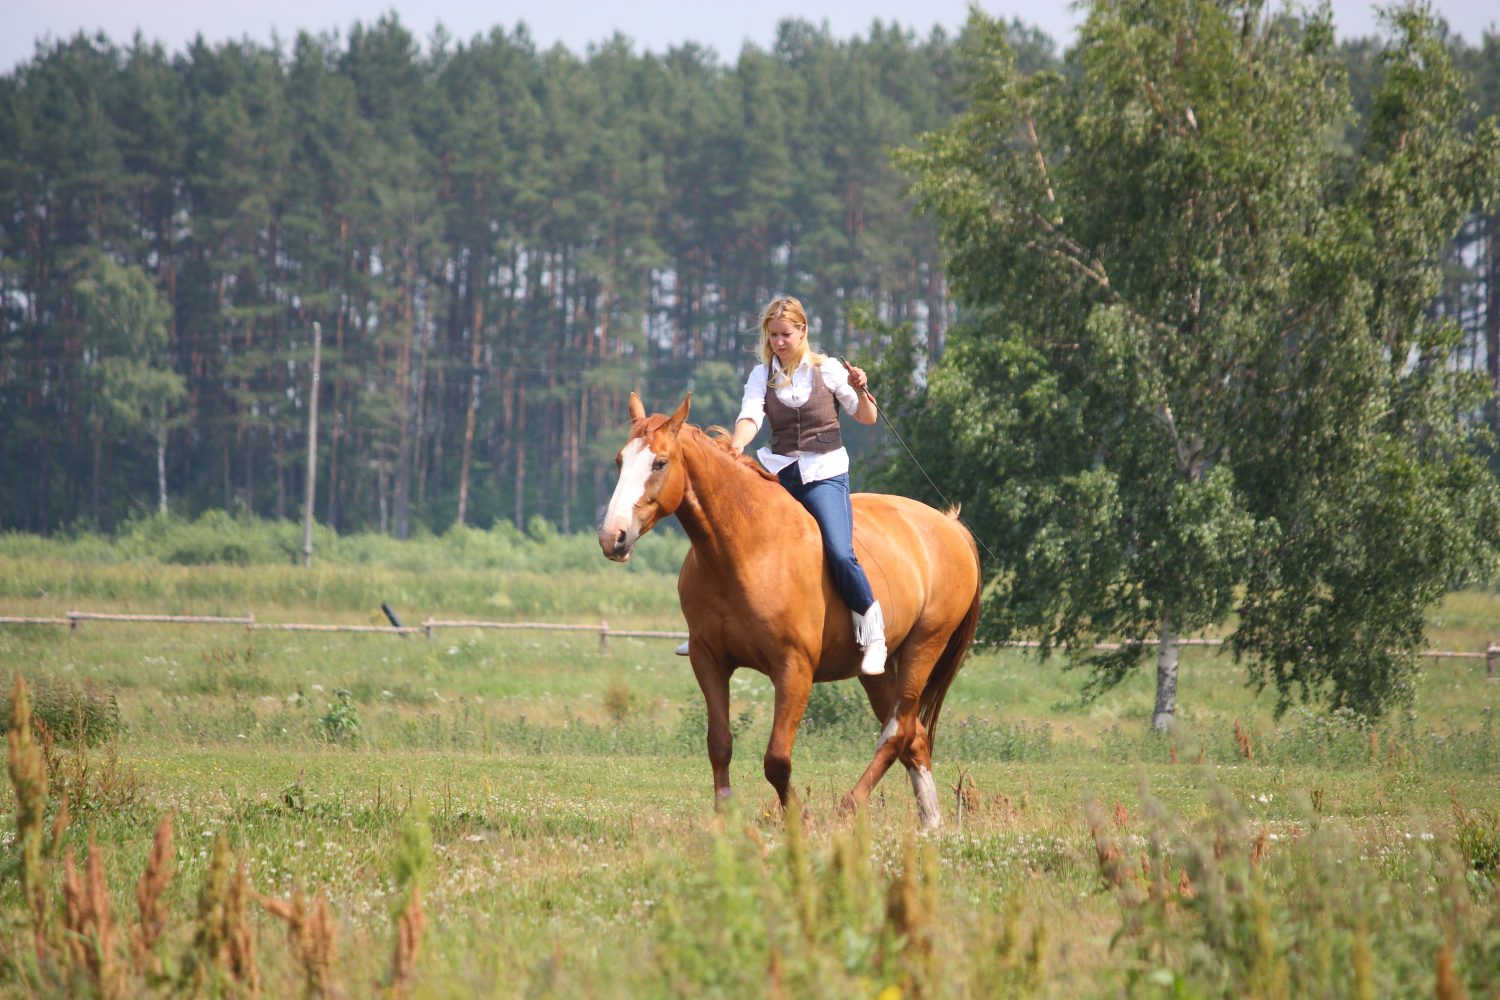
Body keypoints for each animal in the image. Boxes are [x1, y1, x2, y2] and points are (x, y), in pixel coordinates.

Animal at [597, 389, 984, 827]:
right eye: (619, 460)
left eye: (660, 462)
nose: (613, 536)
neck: (747, 548)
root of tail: (951, 527)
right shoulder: (709, 660)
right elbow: (719, 744)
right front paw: (725, 816)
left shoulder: (794, 669)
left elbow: (777, 759)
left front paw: (802, 819)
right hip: (878, 670)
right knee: (913, 738)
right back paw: (931, 823)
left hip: (923, 647)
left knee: (898, 733)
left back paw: (850, 807)